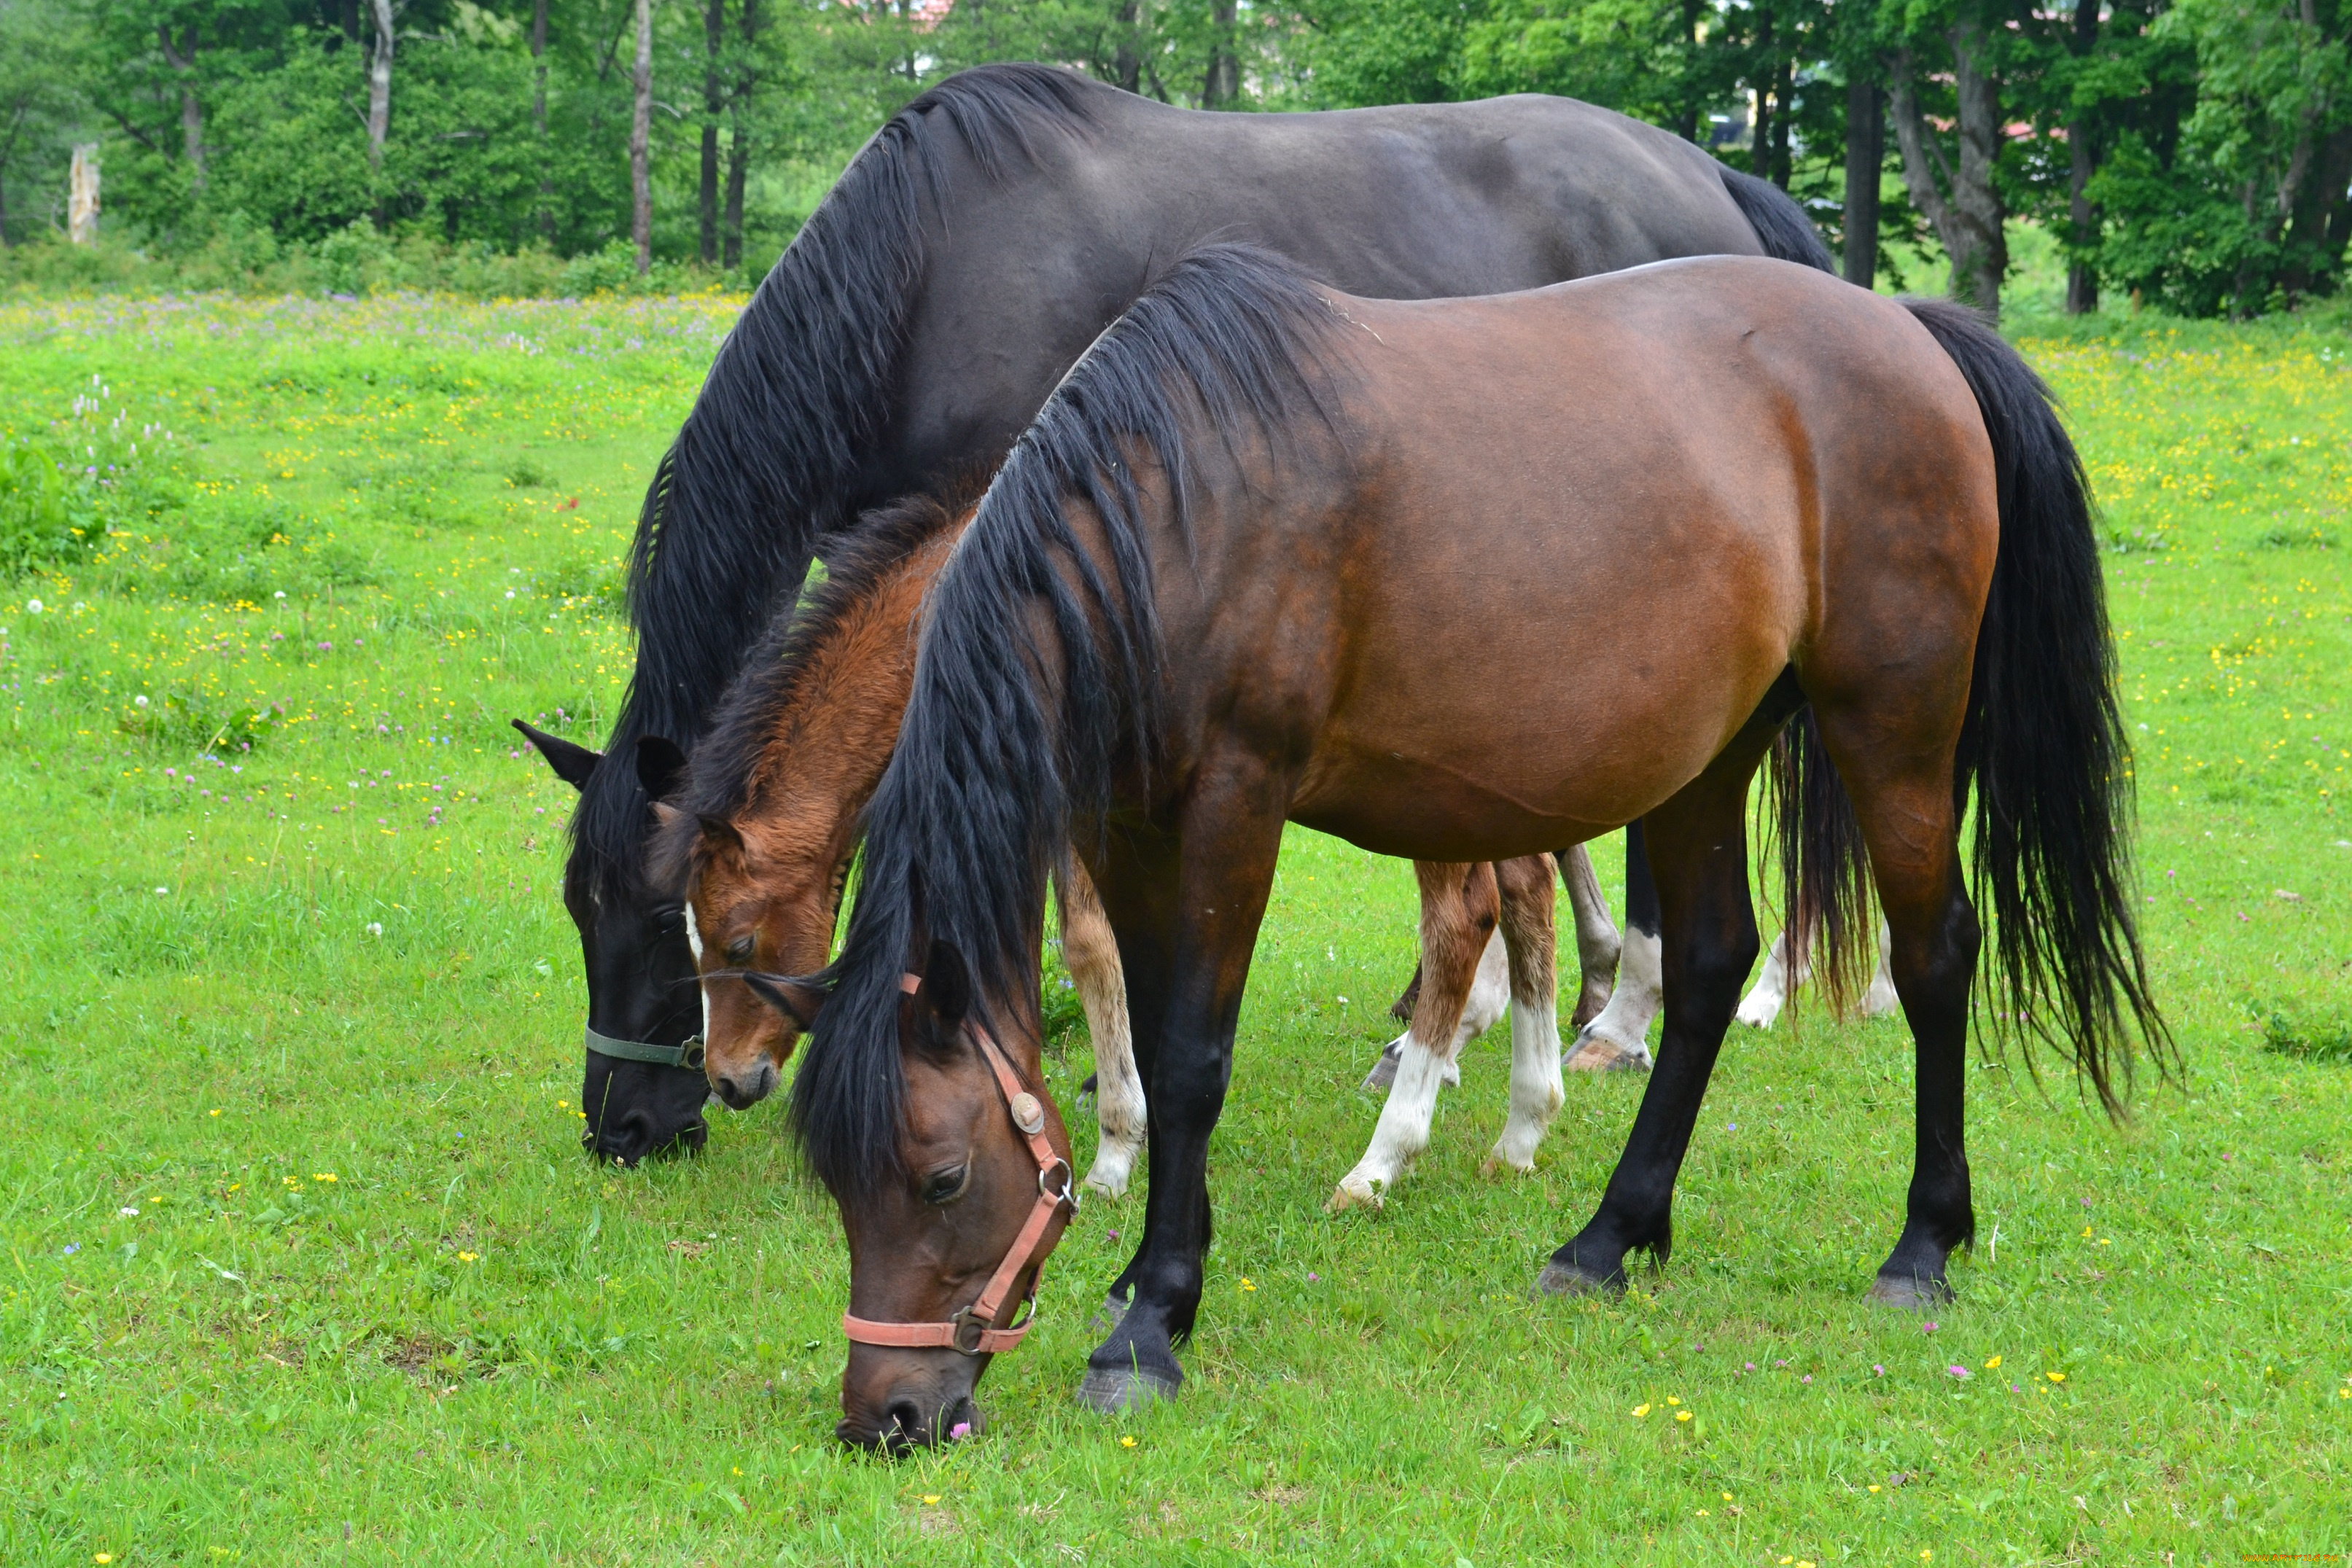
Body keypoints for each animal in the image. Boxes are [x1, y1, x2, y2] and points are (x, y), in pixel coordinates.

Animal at [644, 496, 1589, 1213]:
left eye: (736, 941)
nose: (728, 1080)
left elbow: (1082, 951)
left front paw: (1105, 1151)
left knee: (1462, 919)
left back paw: (1382, 1160)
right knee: (1529, 885)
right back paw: (1525, 1122)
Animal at [771, 248, 2163, 1448]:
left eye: (943, 1176)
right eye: (835, 1180)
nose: (887, 1415)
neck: (1172, 516)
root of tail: (1908, 331)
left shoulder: (1234, 804)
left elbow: (1192, 1058)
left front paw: (1150, 1326)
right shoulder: (1126, 823)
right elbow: (1151, 1036)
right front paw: (1148, 1273)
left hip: (1893, 728)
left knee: (1933, 957)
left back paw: (1922, 1245)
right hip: (1709, 753)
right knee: (1711, 963)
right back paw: (1608, 1239)